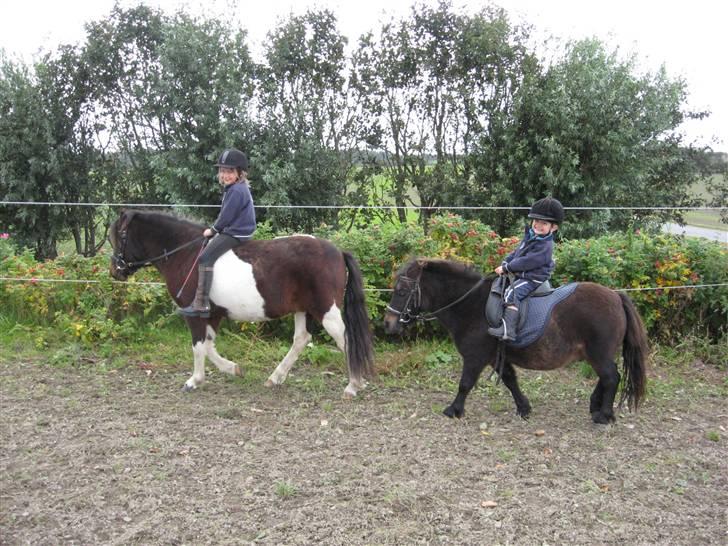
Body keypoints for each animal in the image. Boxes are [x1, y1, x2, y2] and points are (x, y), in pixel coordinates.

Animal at [384, 258, 652, 422]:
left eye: (402, 291)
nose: (388, 323)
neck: (471, 305)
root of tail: (616, 297)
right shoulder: (495, 356)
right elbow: (510, 380)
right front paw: (524, 408)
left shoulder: (475, 356)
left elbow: (465, 383)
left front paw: (454, 410)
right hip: (595, 354)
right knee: (606, 377)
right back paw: (595, 405)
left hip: (599, 353)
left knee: (611, 377)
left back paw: (603, 415)